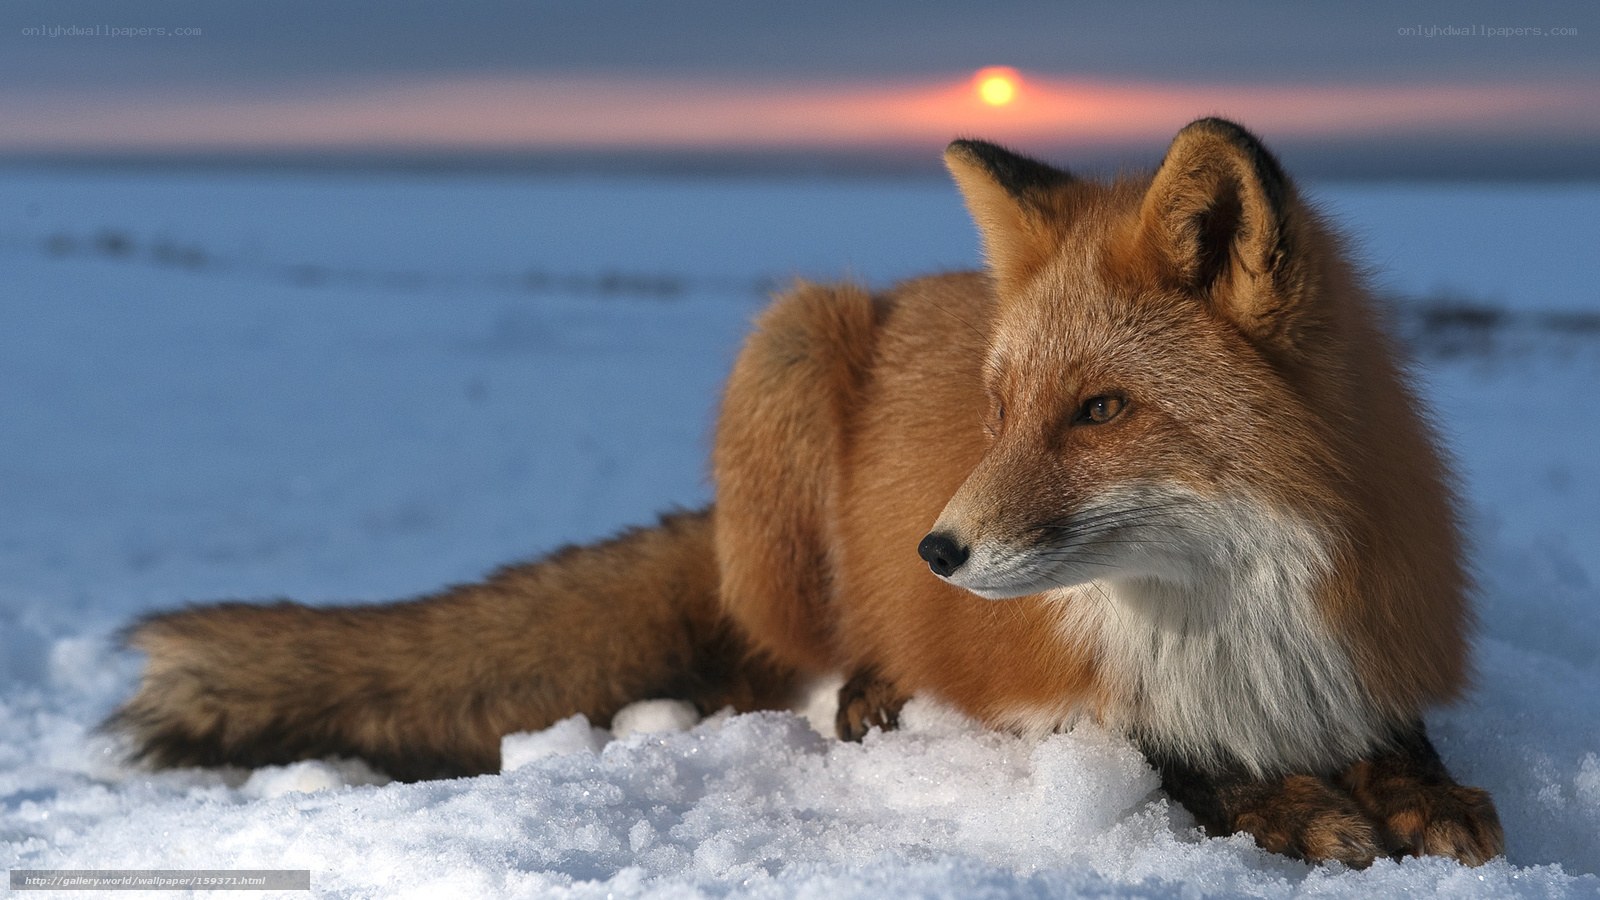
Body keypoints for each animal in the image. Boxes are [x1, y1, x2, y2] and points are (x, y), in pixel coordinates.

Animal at [110, 118, 1503, 868]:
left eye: (1101, 410)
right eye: (999, 412)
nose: (936, 551)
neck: (1230, 622)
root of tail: (907, 289)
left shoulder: (1366, 650)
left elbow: (1407, 745)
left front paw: (1421, 796)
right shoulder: (1062, 700)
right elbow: (1176, 762)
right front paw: (1295, 808)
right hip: (787, 348)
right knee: (773, 662)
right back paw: (866, 689)